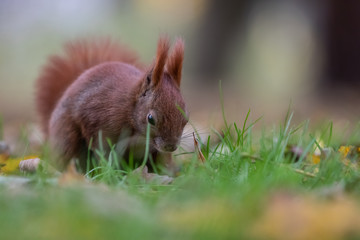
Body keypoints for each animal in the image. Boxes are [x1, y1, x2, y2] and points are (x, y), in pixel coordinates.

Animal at [35, 36, 188, 172]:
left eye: (186, 119)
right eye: (150, 119)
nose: (170, 146)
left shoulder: (157, 152)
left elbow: (162, 162)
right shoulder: (100, 124)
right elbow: (104, 152)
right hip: (67, 136)